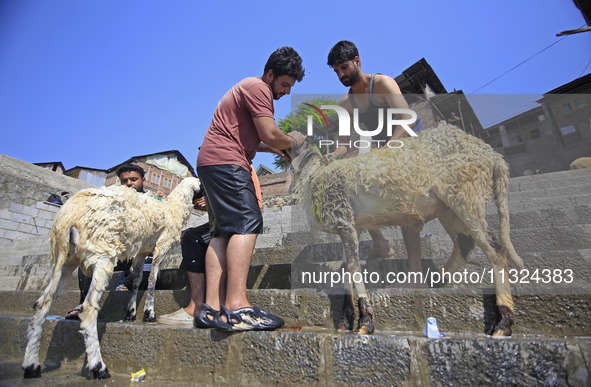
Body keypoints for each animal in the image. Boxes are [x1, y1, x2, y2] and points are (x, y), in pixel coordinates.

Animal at [22, 177, 202, 380]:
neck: (173, 208)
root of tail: (69, 215)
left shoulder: (141, 251)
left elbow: (138, 279)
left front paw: (131, 311)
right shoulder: (161, 247)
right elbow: (152, 280)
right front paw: (149, 313)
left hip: (66, 259)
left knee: (42, 303)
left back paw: (31, 366)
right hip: (102, 252)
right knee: (88, 310)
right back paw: (98, 367)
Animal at [292, 124, 524, 336]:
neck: (315, 175)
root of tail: (493, 156)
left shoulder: (344, 221)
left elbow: (354, 270)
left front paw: (366, 322)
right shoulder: (348, 225)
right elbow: (345, 272)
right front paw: (344, 322)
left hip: (466, 195)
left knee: (496, 249)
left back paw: (503, 323)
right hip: (449, 206)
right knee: (465, 243)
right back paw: (437, 281)